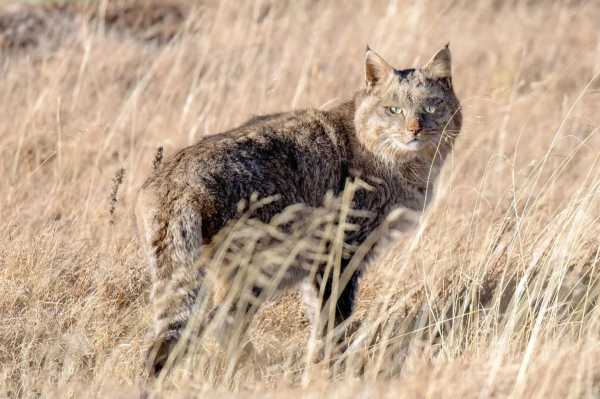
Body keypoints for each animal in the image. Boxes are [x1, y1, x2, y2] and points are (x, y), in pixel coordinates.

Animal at [137, 44, 464, 378]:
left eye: (432, 107)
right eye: (393, 110)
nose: (415, 129)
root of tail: (174, 178)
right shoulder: (338, 252)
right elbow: (334, 319)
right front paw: (334, 370)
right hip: (259, 265)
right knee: (217, 322)